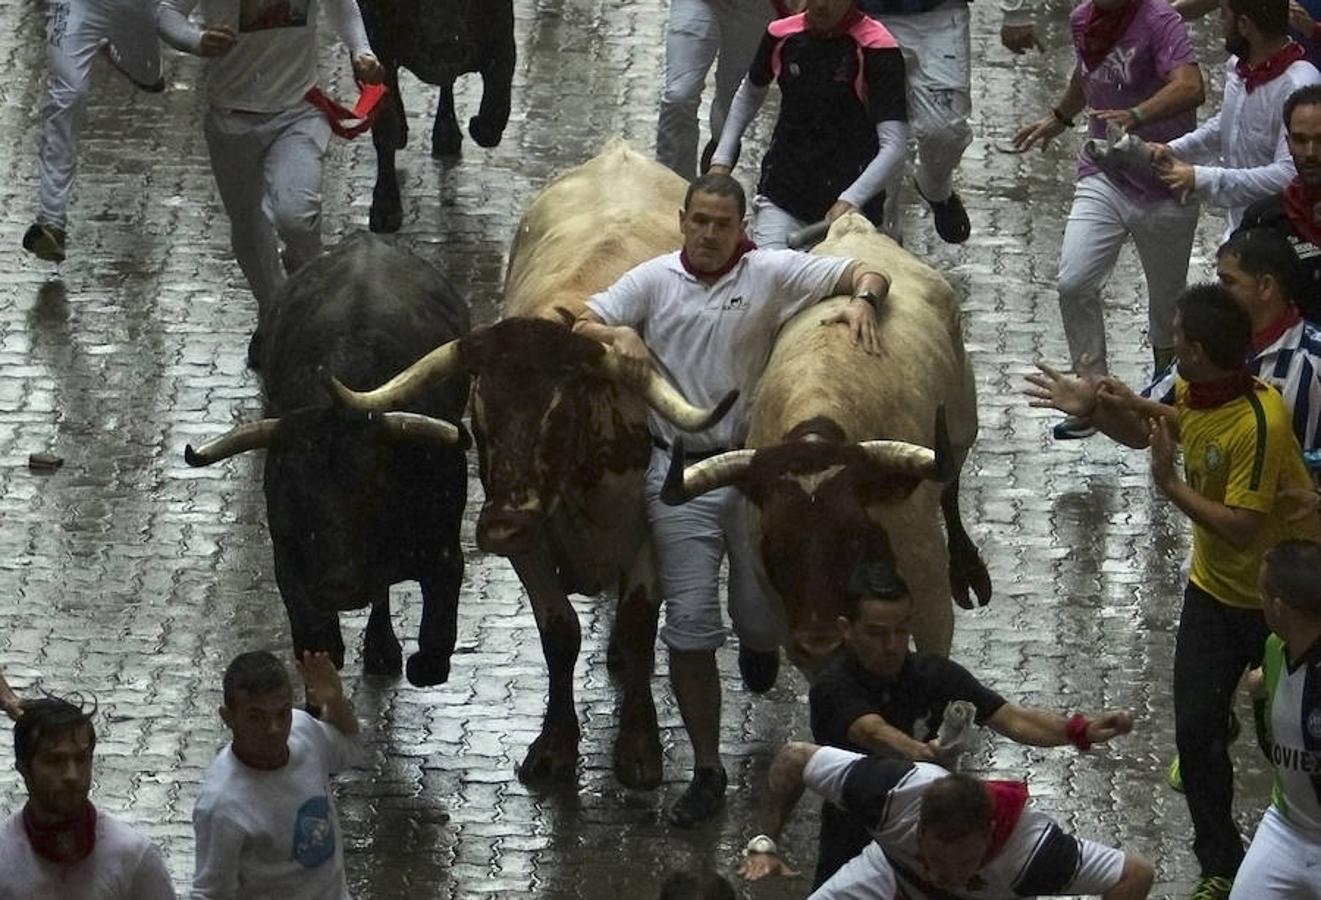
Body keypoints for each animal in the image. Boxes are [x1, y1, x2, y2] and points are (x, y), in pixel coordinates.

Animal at [183, 235, 472, 681]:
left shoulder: (444, 553)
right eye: (295, 488)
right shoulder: (290, 568)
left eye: (375, 484)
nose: (340, 585)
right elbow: (319, 645)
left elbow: (434, 649)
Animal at [330, 142, 739, 787]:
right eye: (477, 417)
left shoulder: (653, 533)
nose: (502, 524)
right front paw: (554, 746)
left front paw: (639, 749)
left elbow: (638, 628)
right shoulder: (530, 545)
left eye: (562, 412)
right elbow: (559, 632)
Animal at [665, 214, 988, 671]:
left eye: (852, 538)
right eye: (778, 544)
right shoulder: (787, 618)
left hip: (960, 428)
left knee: (952, 482)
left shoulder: (929, 595)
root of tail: (856, 227)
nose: (820, 639)